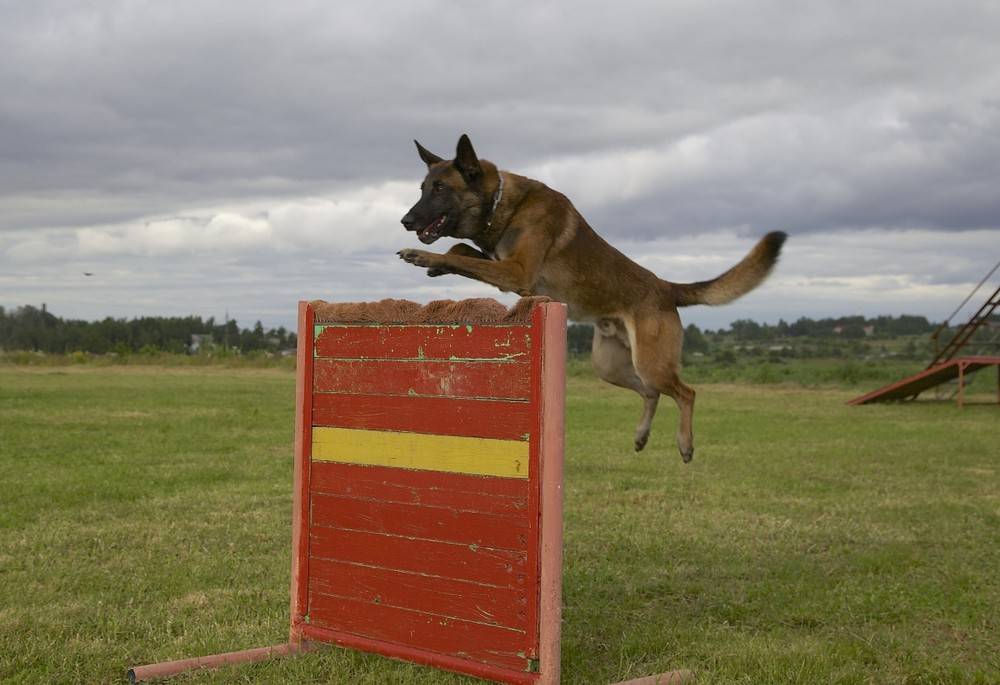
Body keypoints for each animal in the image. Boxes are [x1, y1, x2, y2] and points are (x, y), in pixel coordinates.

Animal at [398, 134, 788, 462]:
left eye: (440, 188)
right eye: (422, 188)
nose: (405, 220)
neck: (501, 205)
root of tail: (665, 288)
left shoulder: (517, 272)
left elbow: (461, 254)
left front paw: (425, 258)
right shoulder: (504, 266)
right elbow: (462, 249)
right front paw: (437, 264)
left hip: (652, 362)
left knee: (686, 393)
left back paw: (685, 444)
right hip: (609, 365)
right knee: (651, 392)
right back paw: (641, 436)